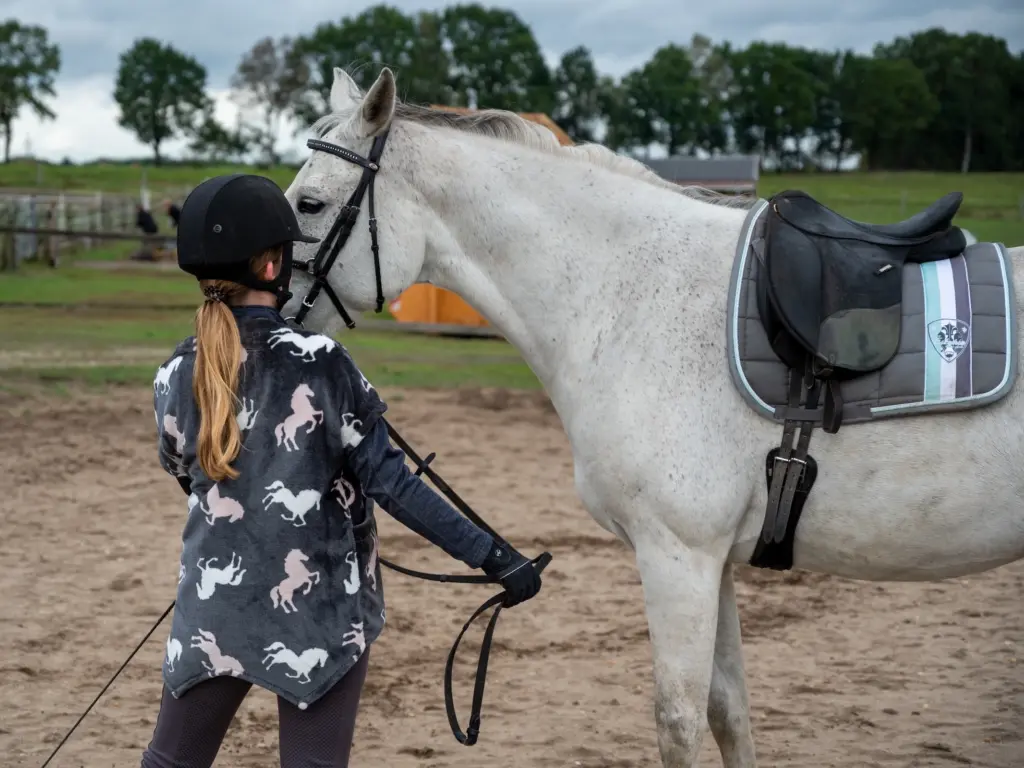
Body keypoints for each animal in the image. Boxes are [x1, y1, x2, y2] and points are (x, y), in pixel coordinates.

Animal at [280, 66, 1024, 768]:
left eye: (310, 203)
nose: (263, 302)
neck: (630, 297)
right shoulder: (714, 562)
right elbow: (729, 712)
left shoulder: (678, 556)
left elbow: (680, 721)